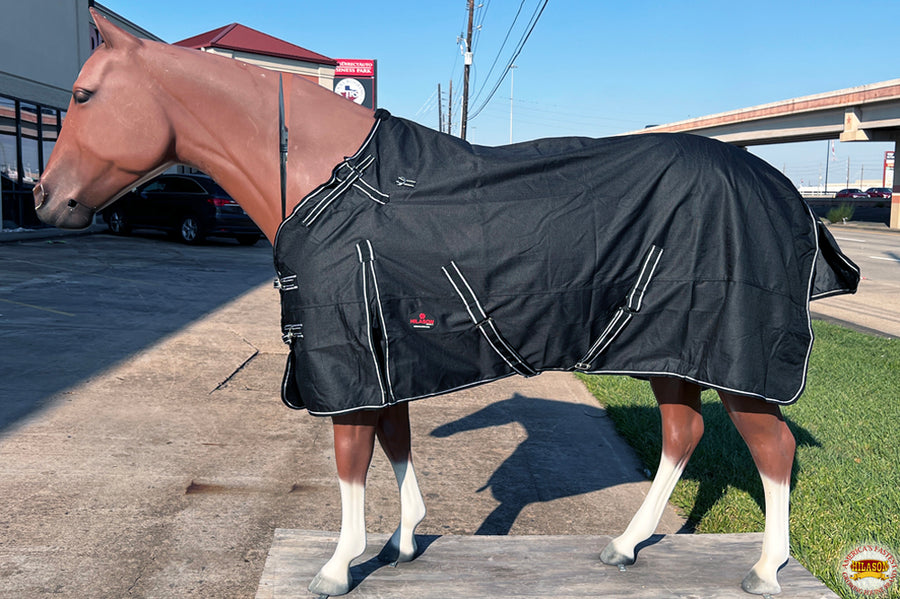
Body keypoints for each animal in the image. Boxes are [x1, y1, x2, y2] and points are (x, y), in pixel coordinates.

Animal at [36, 10, 858, 597]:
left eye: (83, 94)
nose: (44, 198)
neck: (324, 175)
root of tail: (784, 189)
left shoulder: (347, 358)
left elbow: (351, 457)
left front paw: (336, 566)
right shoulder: (387, 353)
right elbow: (395, 441)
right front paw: (403, 543)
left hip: (734, 358)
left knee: (772, 450)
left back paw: (763, 570)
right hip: (672, 348)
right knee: (684, 435)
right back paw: (625, 546)